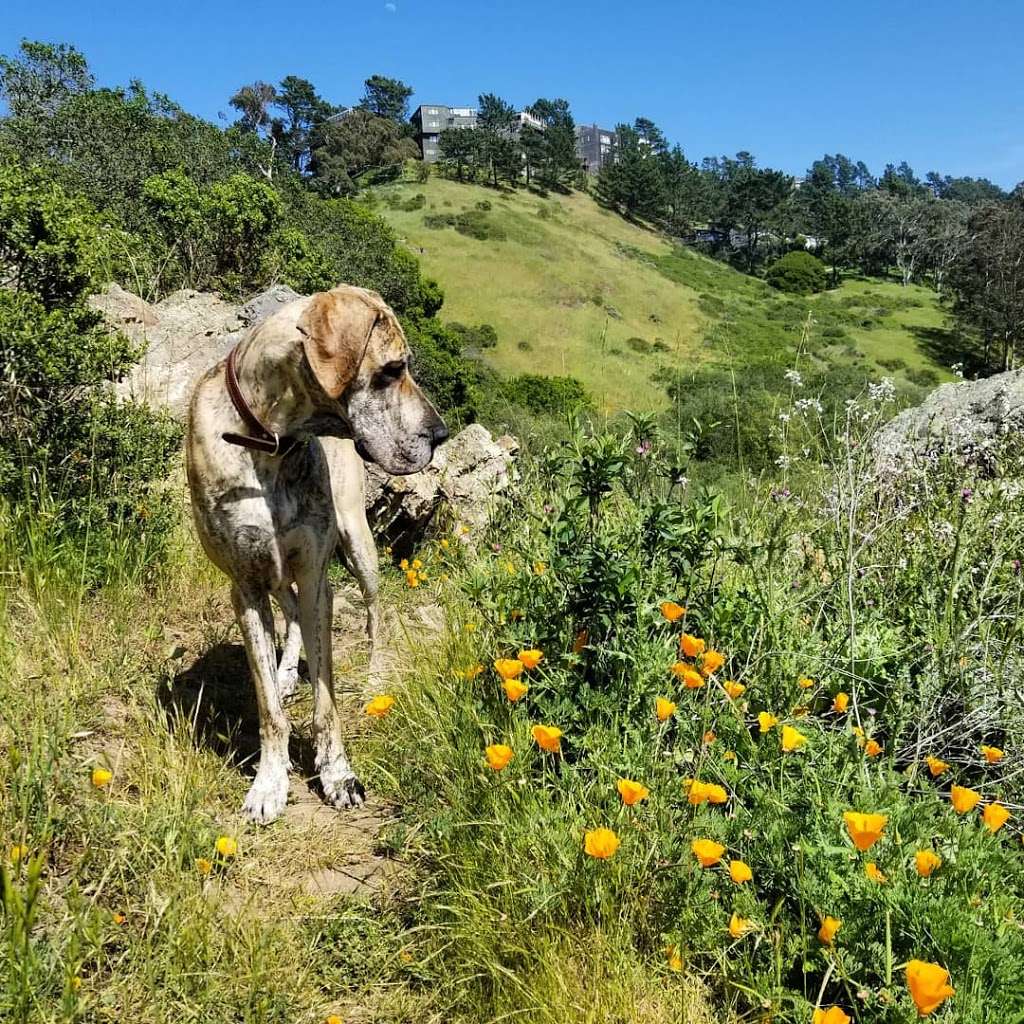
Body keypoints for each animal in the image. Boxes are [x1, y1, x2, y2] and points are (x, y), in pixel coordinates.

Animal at [185, 286, 448, 823]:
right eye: (392, 369)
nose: (441, 434)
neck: (269, 439)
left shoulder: (315, 577)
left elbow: (326, 701)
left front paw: (337, 774)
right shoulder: (245, 587)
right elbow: (268, 707)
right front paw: (269, 782)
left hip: (358, 545)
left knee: (373, 614)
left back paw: (373, 677)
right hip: (276, 573)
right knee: (287, 617)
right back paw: (286, 671)